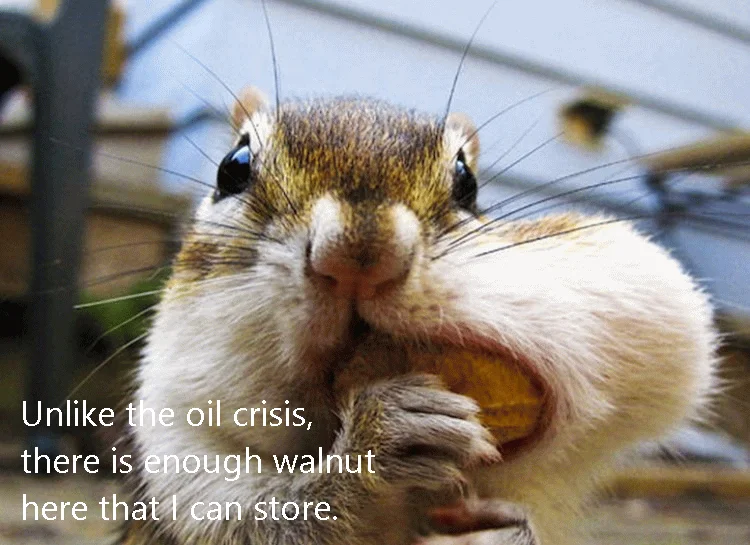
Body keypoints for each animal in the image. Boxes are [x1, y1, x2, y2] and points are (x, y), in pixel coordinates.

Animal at [119, 89, 718, 545]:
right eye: (233, 168)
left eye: (468, 183)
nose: (359, 254)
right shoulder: (182, 459)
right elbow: (268, 521)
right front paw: (385, 439)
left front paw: (501, 532)